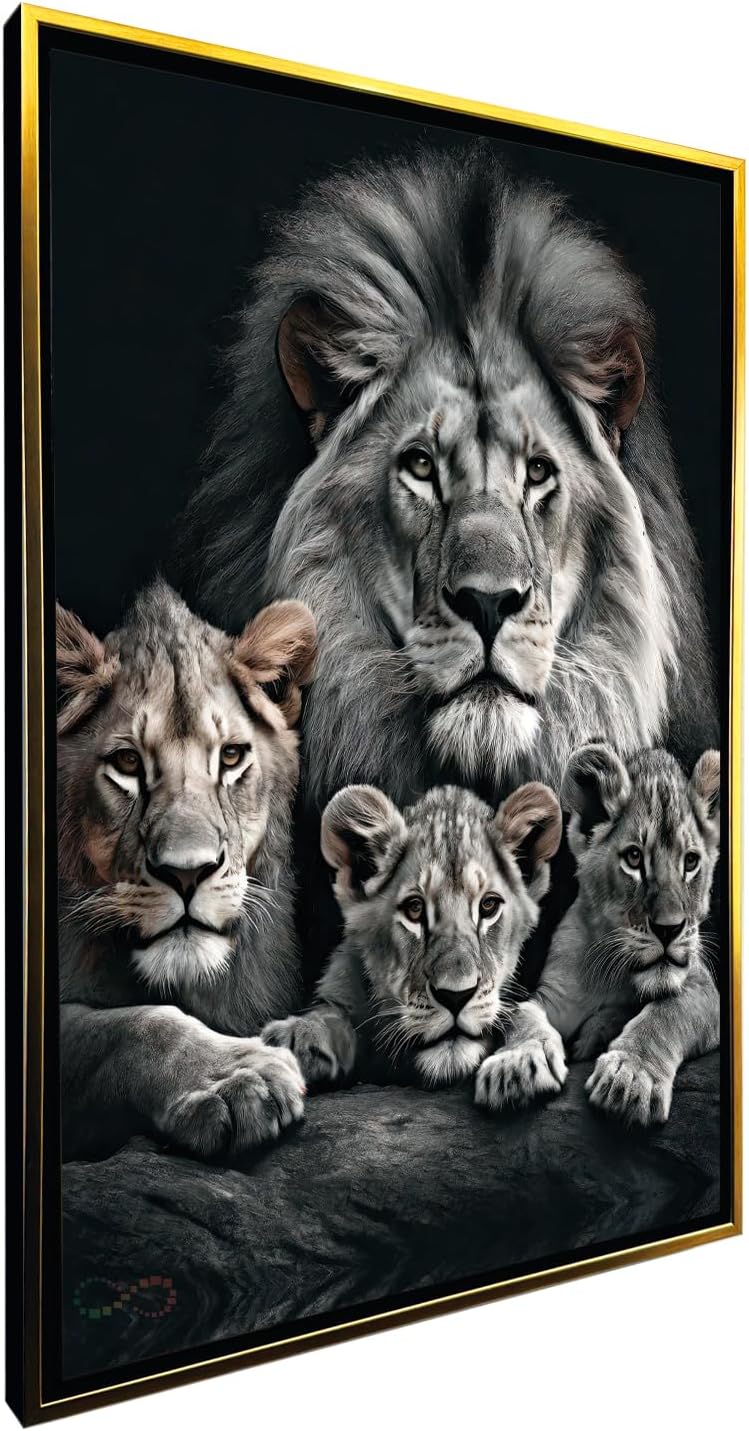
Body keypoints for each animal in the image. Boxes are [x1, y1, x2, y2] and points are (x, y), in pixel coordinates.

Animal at [263, 780, 561, 1089]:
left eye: (488, 905)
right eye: (415, 909)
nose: (455, 996)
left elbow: (522, 1011)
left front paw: (522, 1058)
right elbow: (330, 1014)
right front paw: (293, 1040)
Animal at [476, 744, 720, 1126]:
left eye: (691, 862)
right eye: (633, 858)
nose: (669, 929)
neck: (619, 974)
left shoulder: (702, 987)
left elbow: (665, 1014)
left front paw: (631, 1077)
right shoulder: (555, 995)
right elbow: (521, 1014)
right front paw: (515, 1064)